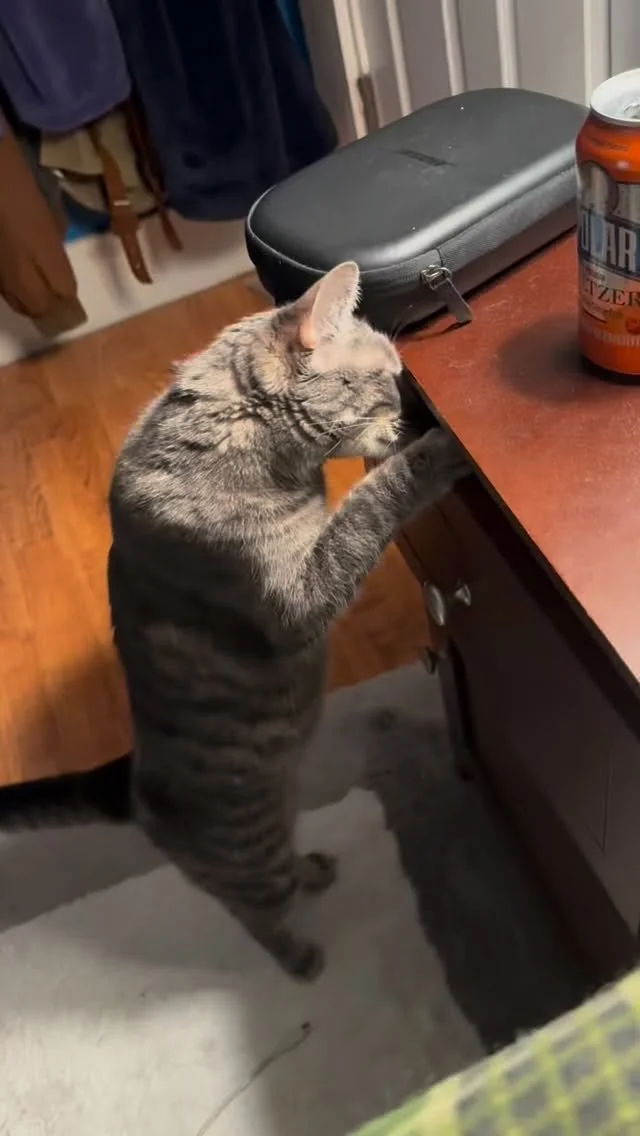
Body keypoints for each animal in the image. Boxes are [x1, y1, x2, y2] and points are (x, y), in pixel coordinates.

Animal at [0, 262, 469, 979]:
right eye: (388, 371)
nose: (416, 402)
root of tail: (131, 791)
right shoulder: (298, 595)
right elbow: (372, 500)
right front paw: (437, 448)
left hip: (280, 819)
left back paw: (315, 867)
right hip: (251, 861)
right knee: (257, 917)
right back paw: (301, 958)